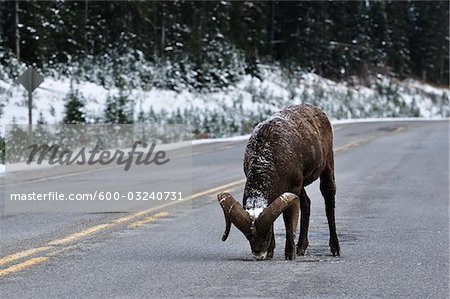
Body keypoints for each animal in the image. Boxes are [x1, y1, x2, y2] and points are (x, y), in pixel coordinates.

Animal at [219, 104, 342, 262]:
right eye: (248, 236)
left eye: (265, 234)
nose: (259, 254)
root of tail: (318, 111)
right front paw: (271, 252)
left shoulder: (293, 187)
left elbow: (288, 219)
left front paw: (289, 254)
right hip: (302, 185)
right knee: (306, 203)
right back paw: (301, 248)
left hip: (327, 167)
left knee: (328, 202)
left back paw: (335, 248)